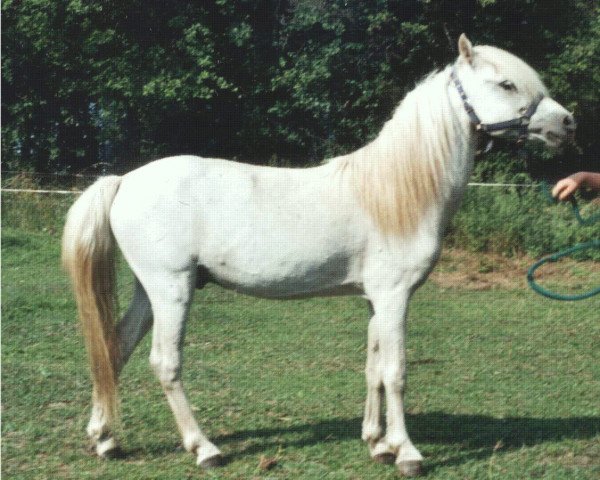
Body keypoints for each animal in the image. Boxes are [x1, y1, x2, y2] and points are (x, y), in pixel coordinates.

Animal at [63, 34, 576, 476]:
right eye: (506, 83)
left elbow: (373, 368)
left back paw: (105, 439)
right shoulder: (395, 296)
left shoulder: (375, 299)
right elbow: (396, 371)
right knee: (164, 363)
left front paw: (377, 443)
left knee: (115, 347)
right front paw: (408, 453)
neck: (396, 188)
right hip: (172, 289)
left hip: (149, 291)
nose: (567, 123)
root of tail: (124, 180)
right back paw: (204, 448)